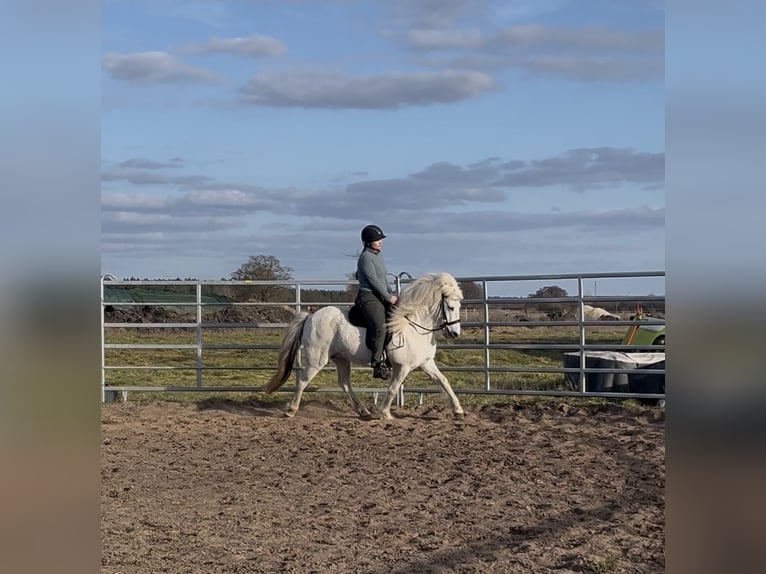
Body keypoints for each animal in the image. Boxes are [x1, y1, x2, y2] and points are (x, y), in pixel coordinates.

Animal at [262, 272, 464, 420]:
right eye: (451, 307)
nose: (455, 333)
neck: (413, 325)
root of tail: (311, 316)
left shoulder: (426, 363)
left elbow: (444, 381)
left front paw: (458, 411)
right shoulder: (402, 367)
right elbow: (393, 388)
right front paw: (385, 413)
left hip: (341, 359)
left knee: (344, 383)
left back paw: (363, 412)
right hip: (317, 359)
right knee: (303, 380)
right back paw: (291, 410)